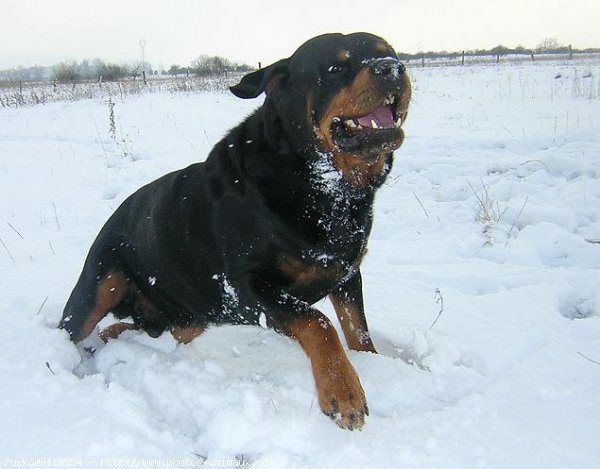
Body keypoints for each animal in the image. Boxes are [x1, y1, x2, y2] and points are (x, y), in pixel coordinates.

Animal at [59, 32, 408, 428]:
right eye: (336, 67)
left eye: (390, 54)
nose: (393, 69)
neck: (320, 186)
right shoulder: (248, 287)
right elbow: (318, 322)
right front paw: (343, 392)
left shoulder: (347, 272)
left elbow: (357, 327)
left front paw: (372, 362)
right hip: (102, 282)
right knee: (75, 327)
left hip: (189, 316)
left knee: (146, 328)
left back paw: (115, 336)